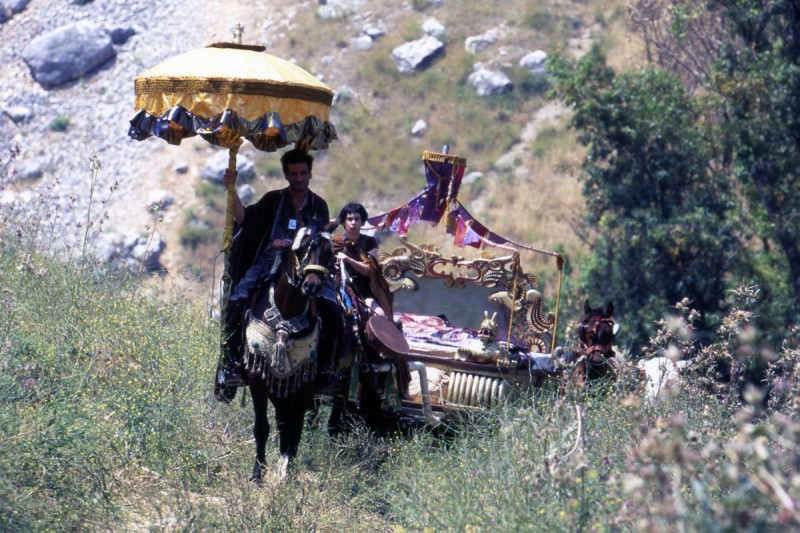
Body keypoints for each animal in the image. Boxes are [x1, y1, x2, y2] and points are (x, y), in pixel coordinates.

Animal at [241, 220, 334, 482]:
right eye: (301, 248)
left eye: (330, 253)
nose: (312, 285)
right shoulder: (257, 378)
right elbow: (262, 426)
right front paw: (257, 473)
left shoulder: (304, 384)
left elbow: (295, 429)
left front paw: (287, 472)